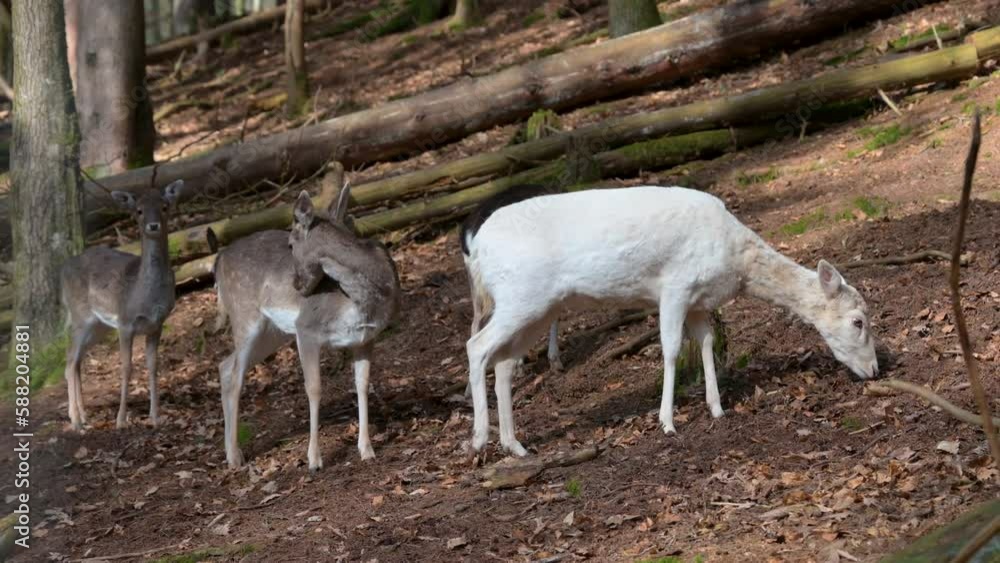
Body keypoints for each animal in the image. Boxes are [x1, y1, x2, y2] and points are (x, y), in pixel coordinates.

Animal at [60, 181, 184, 430]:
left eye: (164, 206)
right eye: (139, 210)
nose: (153, 225)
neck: (145, 294)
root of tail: (61, 272)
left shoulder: (157, 324)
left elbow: (153, 365)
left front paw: (155, 417)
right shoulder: (126, 322)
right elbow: (126, 367)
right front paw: (121, 420)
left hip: (98, 326)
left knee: (76, 362)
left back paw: (83, 416)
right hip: (80, 317)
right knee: (69, 362)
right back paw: (76, 421)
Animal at [214, 187, 400, 471]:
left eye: (291, 244)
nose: (296, 284)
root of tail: (218, 260)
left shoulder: (365, 338)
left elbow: (362, 384)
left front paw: (367, 450)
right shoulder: (306, 329)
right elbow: (314, 388)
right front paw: (314, 459)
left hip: (272, 332)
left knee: (225, 365)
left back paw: (229, 452)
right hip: (244, 316)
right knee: (236, 376)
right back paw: (235, 457)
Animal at [465, 186, 879, 456]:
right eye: (858, 321)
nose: (875, 370)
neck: (736, 261)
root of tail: (476, 250)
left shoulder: (697, 300)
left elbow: (706, 343)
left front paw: (717, 408)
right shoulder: (675, 286)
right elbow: (671, 349)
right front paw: (667, 421)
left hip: (537, 308)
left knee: (504, 363)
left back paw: (515, 445)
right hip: (520, 296)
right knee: (476, 346)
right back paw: (479, 439)